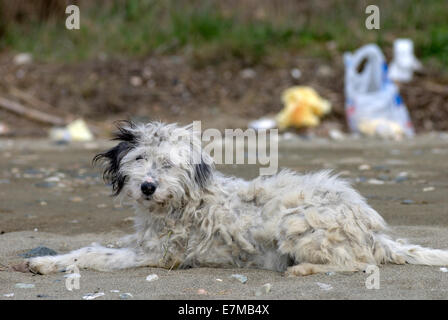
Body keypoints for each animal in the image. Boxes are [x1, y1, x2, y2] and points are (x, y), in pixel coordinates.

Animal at [27, 121, 448, 276]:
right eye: (140, 159)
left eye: (168, 164)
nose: (147, 187)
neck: (182, 203)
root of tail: (373, 232)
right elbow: (91, 246)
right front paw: (48, 259)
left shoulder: (160, 256)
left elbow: (95, 255)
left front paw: (52, 264)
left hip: (297, 221)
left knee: (356, 264)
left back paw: (302, 270)